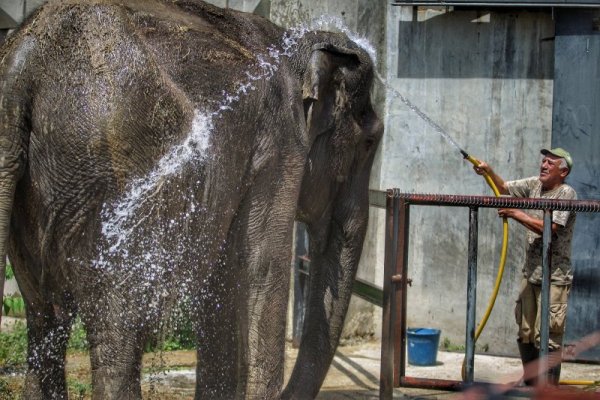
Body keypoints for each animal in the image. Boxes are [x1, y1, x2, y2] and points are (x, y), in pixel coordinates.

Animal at [0, 1, 382, 398]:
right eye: (371, 142)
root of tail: (21, 62)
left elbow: (222, 276)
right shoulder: (280, 145)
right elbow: (261, 267)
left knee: (46, 317)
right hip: (109, 183)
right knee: (117, 327)